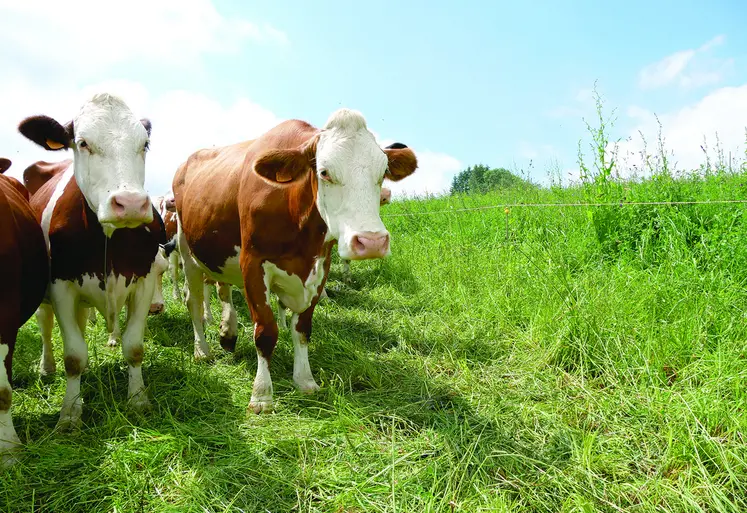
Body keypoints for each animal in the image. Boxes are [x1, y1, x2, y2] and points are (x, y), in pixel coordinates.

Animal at [18, 92, 165, 432]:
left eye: (144, 144)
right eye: (83, 142)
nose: (131, 204)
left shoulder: (144, 281)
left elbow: (134, 347)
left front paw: (138, 400)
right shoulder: (60, 287)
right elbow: (73, 356)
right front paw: (70, 413)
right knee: (46, 327)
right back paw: (46, 367)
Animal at [173, 108, 417, 414]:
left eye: (382, 172)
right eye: (324, 172)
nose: (371, 241)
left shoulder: (320, 266)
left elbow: (301, 329)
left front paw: (305, 380)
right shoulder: (252, 264)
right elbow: (266, 331)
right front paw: (262, 395)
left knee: (224, 289)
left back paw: (228, 332)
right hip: (187, 251)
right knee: (194, 302)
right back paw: (202, 350)